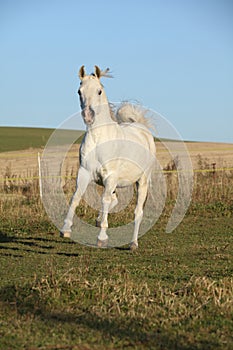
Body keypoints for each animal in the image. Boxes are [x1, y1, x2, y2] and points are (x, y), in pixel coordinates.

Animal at [61, 65, 156, 250]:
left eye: (99, 91)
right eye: (79, 91)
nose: (88, 115)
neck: (99, 139)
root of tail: (142, 129)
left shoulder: (110, 177)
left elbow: (104, 200)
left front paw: (102, 237)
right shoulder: (84, 173)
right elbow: (76, 197)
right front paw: (66, 229)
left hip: (142, 181)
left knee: (137, 212)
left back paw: (133, 243)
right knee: (115, 199)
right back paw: (99, 220)